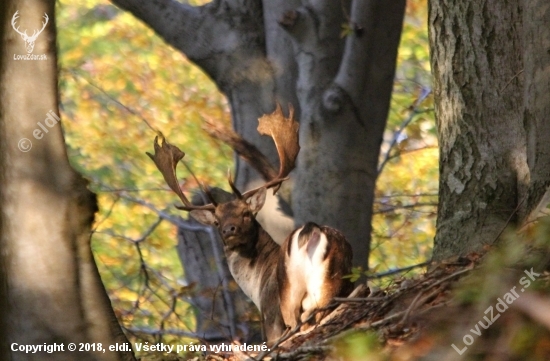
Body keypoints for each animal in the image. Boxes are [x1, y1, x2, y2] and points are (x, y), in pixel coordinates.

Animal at [147, 105, 354, 344]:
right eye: (217, 221)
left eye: (246, 213)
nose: (229, 230)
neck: (255, 286)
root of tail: (311, 230)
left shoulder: (270, 314)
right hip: (335, 284)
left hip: (290, 296)